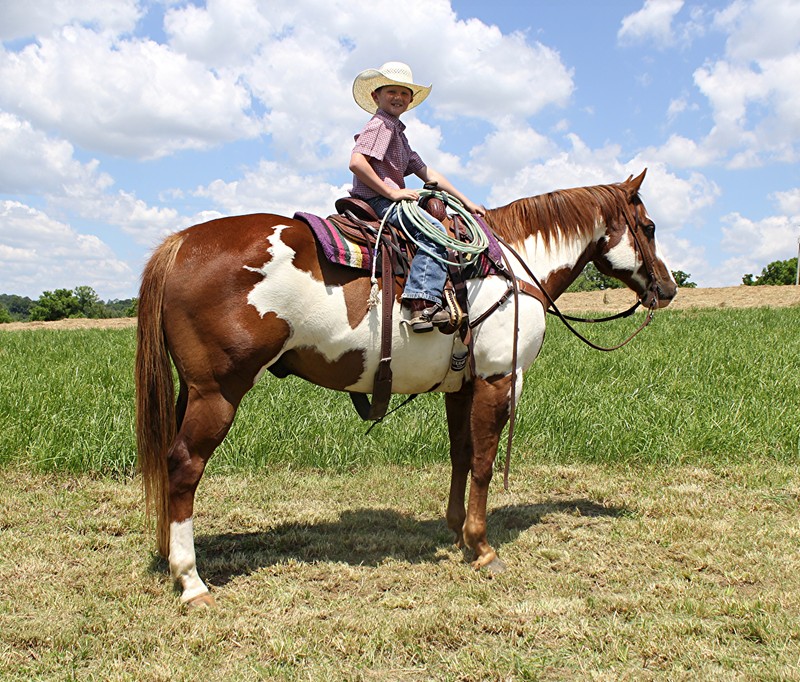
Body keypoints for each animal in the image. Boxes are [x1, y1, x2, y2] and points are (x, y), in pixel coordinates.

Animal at [136, 168, 676, 607]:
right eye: (649, 228)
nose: (668, 289)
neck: (514, 269)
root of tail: (181, 242)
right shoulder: (499, 380)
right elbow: (484, 463)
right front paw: (483, 547)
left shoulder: (463, 386)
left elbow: (461, 455)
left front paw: (458, 532)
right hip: (218, 392)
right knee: (184, 466)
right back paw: (191, 580)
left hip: (190, 390)